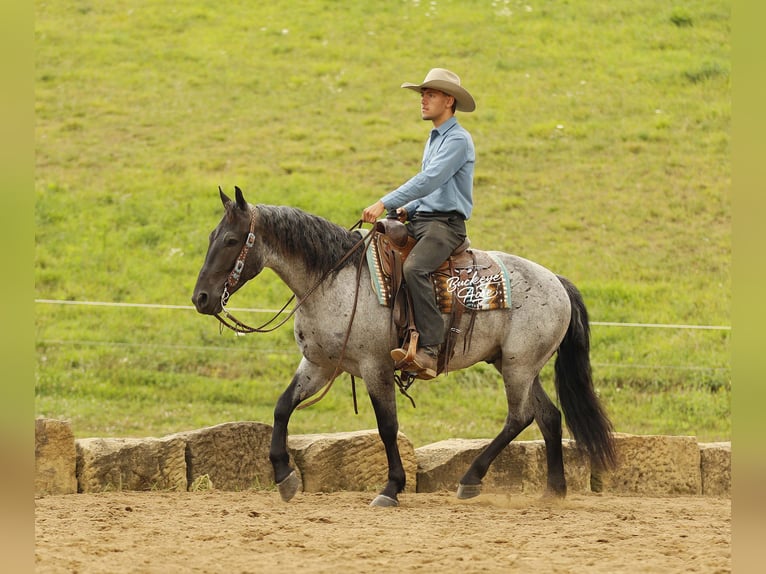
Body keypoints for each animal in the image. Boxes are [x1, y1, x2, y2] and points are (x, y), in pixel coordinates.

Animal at [192, 186, 616, 507]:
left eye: (231, 240)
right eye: (211, 237)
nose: (201, 298)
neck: (335, 279)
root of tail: (558, 281)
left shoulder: (374, 366)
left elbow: (387, 425)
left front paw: (391, 488)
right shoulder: (319, 364)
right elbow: (282, 408)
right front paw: (284, 477)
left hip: (518, 366)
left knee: (521, 416)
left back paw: (471, 479)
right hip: (518, 365)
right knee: (549, 416)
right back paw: (553, 491)